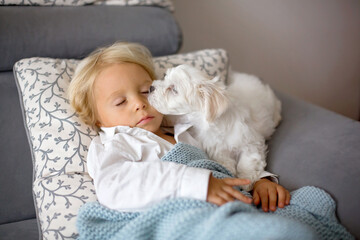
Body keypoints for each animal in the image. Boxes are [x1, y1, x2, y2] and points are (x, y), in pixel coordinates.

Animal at [148, 64, 282, 191]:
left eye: (174, 89)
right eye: (164, 77)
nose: (151, 88)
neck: (212, 124)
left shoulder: (250, 142)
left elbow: (248, 160)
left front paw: (246, 179)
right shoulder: (216, 148)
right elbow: (224, 159)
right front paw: (228, 170)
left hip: (271, 102)